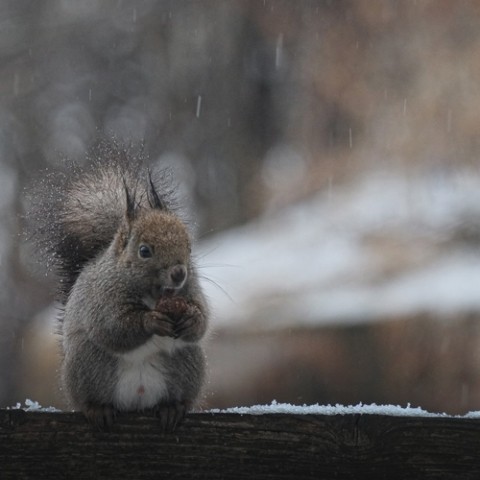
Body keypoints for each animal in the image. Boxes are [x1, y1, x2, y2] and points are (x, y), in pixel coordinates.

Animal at [29, 144, 209, 430]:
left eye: (189, 247)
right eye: (144, 251)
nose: (179, 273)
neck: (153, 295)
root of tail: (138, 400)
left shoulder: (191, 291)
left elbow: (202, 321)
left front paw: (191, 318)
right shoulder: (101, 299)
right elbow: (113, 327)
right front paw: (151, 321)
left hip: (187, 364)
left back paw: (172, 407)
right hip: (88, 363)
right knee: (90, 397)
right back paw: (98, 409)